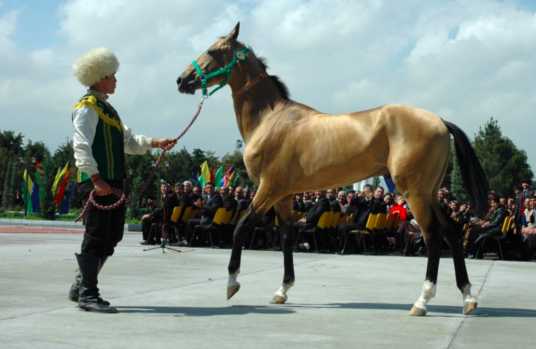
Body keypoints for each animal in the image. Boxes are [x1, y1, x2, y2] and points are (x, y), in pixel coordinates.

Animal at [177, 22, 490, 316]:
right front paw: (282, 290)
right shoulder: (284, 196)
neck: (270, 120)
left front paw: (232, 284)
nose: (182, 80)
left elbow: (241, 228)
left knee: (433, 236)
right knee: (451, 233)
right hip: (431, 192)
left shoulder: (268, 189)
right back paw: (468, 298)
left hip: (414, 192)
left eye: (212, 51)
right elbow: (287, 238)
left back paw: (422, 302)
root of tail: (439, 121)